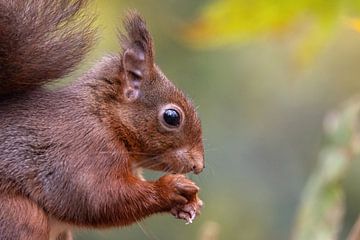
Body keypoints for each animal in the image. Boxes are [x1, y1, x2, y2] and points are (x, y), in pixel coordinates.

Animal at [0, 0, 204, 239]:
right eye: (172, 117)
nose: (199, 165)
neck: (105, 118)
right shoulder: (82, 149)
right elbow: (98, 198)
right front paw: (171, 188)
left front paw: (190, 205)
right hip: (19, 214)